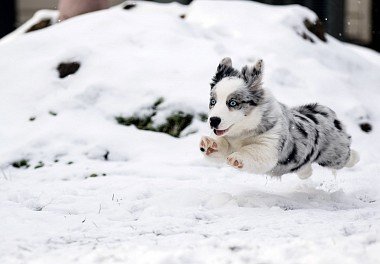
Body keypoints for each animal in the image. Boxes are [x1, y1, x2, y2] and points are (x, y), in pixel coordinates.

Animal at [199, 56, 360, 178]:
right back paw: (306, 174)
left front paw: (237, 157)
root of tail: (326, 111)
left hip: (335, 154)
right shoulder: (228, 140)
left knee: (347, 156)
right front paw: (209, 144)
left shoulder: (269, 146)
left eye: (233, 102)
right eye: (213, 102)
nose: (213, 121)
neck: (242, 132)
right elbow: (221, 146)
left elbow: (252, 150)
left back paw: (356, 157)